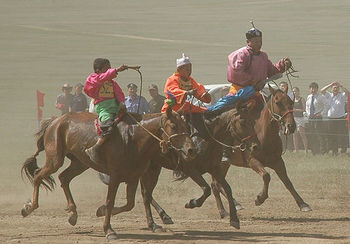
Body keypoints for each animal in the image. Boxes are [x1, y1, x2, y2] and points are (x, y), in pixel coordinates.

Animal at [21, 107, 197, 240]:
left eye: (186, 126)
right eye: (173, 126)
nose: (191, 150)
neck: (134, 138)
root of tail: (55, 121)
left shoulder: (133, 177)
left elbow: (129, 204)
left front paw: (101, 210)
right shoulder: (115, 176)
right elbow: (111, 201)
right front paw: (109, 230)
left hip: (80, 163)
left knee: (64, 177)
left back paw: (73, 213)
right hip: (55, 159)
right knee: (38, 176)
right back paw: (29, 207)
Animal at [98, 99, 260, 231]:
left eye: (253, 122)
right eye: (243, 122)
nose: (255, 145)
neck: (206, 136)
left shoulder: (214, 168)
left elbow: (226, 188)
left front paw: (234, 219)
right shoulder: (189, 168)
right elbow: (206, 189)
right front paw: (192, 203)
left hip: (153, 168)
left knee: (146, 193)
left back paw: (162, 217)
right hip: (147, 169)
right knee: (145, 193)